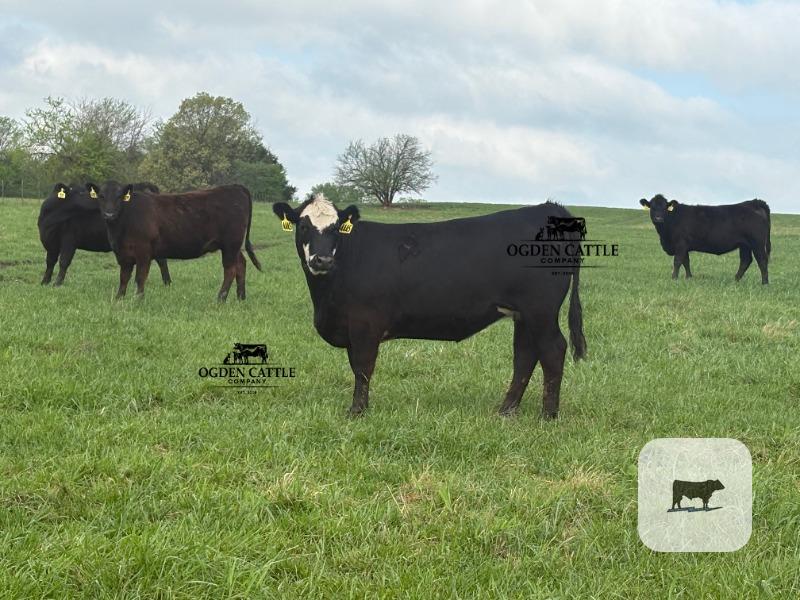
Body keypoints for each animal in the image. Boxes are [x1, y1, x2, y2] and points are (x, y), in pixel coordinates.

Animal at [38, 182, 171, 287]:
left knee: (162, 260)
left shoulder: (69, 240)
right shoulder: (51, 243)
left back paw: (167, 283)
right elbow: (50, 261)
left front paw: (57, 283)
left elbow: (64, 261)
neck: (50, 219)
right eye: (81, 193)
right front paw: (44, 282)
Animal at [87, 181, 262, 301]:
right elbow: (124, 278)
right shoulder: (123, 254)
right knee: (241, 264)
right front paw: (119, 299)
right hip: (233, 246)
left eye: (119, 197)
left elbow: (140, 277)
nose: (109, 214)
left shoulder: (144, 252)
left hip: (230, 244)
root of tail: (235, 187)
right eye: (101, 196)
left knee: (230, 270)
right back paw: (241, 297)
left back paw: (220, 299)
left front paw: (138, 299)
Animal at [272, 194, 586, 418]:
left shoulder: (365, 323)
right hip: (523, 314)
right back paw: (506, 410)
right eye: (303, 225)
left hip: (540, 311)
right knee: (524, 356)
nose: (322, 260)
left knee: (553, 350)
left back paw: (548, 415)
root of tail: (547, 208)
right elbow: (357, 366)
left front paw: (357, 412)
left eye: (337, 228)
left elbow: (362, 367)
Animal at [639, 194, 771, 284]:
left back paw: (764, 283)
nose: (658, 218)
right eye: (652, 207)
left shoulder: (680, 244)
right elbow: (686, 261)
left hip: (757, 243)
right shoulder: (684, 246)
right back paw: (735, 280)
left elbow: (677, 261)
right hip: (744, 245)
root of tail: (754, 202)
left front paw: (674, 278)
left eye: (664, 208)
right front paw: (689, 277)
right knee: (745, 260)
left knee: (762, 260)